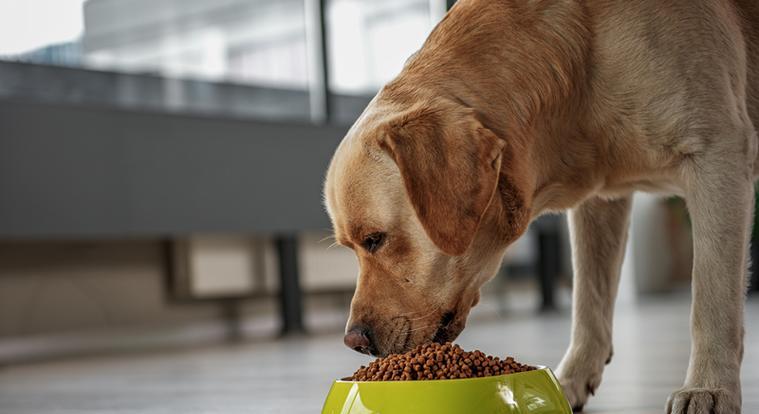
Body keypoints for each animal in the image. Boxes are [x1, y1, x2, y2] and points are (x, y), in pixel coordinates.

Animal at [322, 0, 759, 410]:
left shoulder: (717, 156)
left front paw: (709, 387)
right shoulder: (602, 198)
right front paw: (569, 382)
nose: (354, 341)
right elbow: (588, 300)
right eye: (350, 247)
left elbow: (711, 299)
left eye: (375, 239)